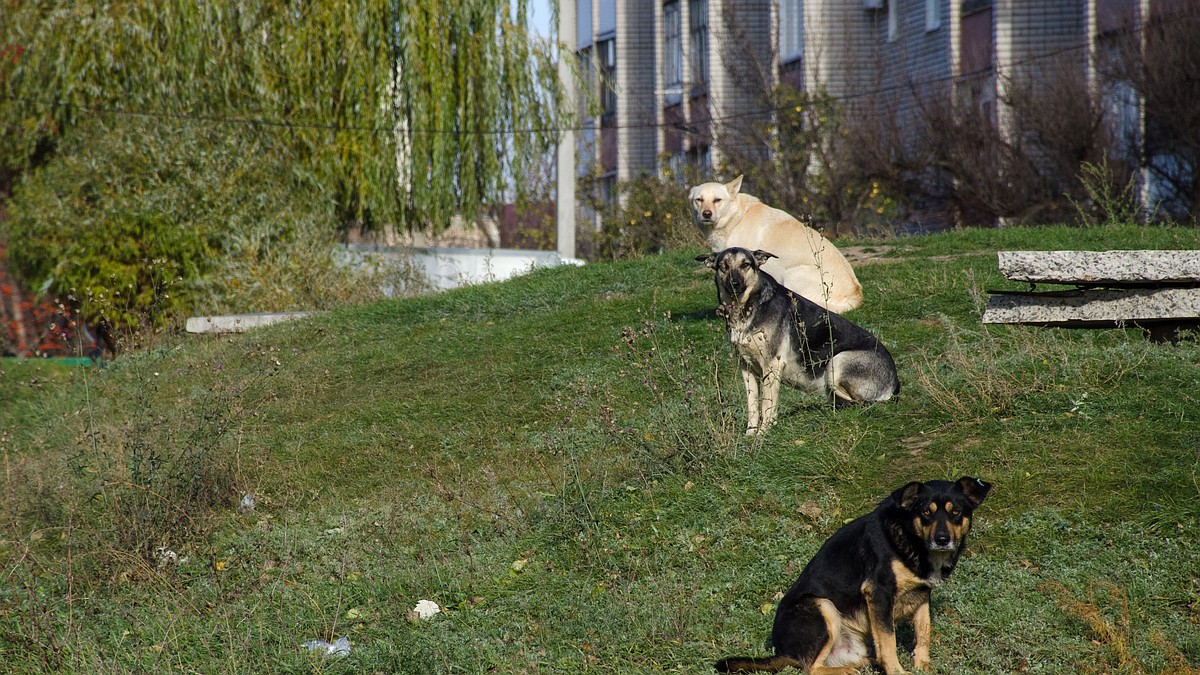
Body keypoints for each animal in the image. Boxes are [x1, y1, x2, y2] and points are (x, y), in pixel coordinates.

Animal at [696, 171, 864, 312]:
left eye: (717, 200)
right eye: (699, 200)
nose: (706, 214)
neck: (735, 217)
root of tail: (856, 294)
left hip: (792, 275)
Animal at [696, 247, 902, 437]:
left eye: (745, 265)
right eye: (723, 266)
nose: (734, 283)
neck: (746, 308)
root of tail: (895, 382)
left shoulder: (772, 366)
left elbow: (767, 405)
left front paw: (763, 434)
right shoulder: (746, 369)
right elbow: (753, 405)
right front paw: (750, 434)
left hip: (837, 362)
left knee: (859, 401)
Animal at [715, 475, 988, 667]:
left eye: (956, 512)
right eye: (925, 513)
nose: (942, 539)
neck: (910, 538)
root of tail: (783, 651)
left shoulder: (921, 594)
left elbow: (924, 632)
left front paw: (923, 665)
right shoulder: (879, 593)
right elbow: (889, 643)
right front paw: (899, 671)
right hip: (822, 605)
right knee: (812, 668)